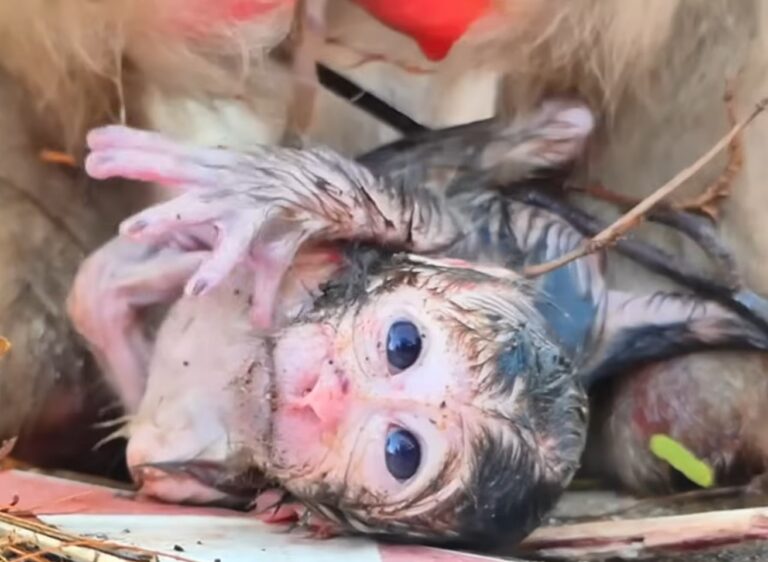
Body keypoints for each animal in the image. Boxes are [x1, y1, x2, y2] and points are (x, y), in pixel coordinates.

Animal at [65, 99, 768, 547]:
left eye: (400, 453)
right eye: (403, 344)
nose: (325, 390)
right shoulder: (439, 233)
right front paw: (255, 192)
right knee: (563, 124)